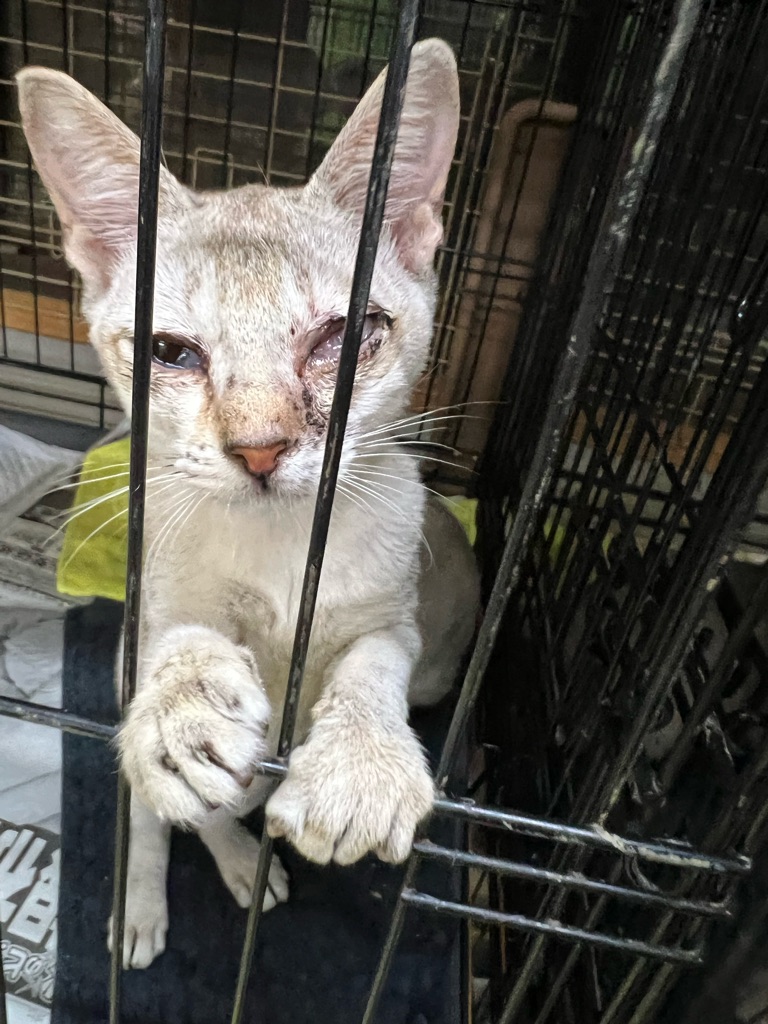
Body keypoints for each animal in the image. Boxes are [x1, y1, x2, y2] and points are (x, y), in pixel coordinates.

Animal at [16, 38, 480, 971]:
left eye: (347, 335)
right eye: (170, 351)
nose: (261, 447)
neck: (286, 547)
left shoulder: (399, 615)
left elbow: (376, 659)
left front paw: (358, 765)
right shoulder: (164, 593)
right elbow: (184, 642)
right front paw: (186, 710)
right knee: (164, 811)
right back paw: (163, 888)